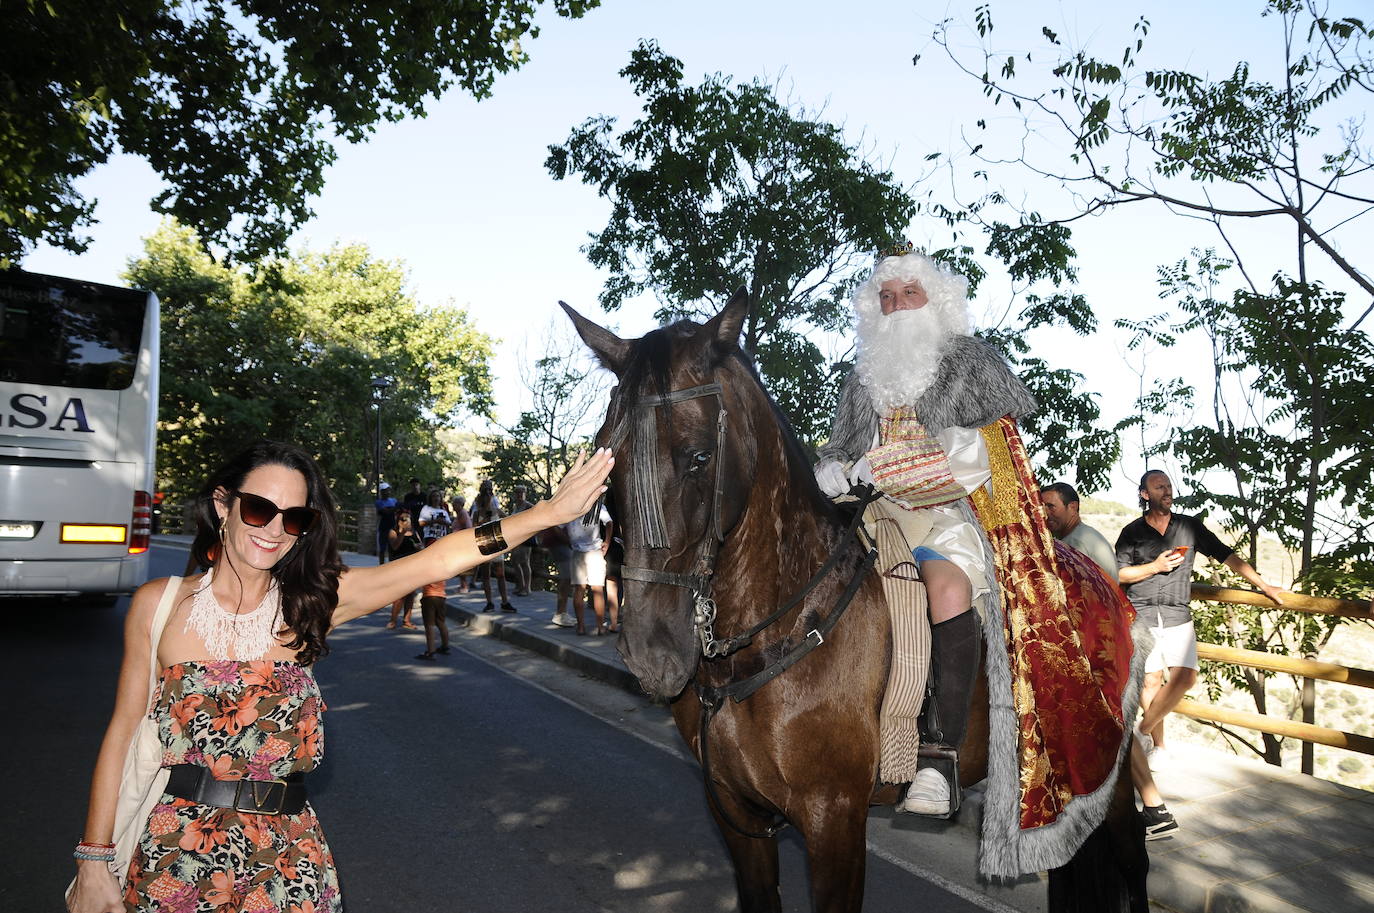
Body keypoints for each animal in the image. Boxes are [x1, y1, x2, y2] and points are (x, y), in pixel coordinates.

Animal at [563, 292, 1143, 913]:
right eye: (608, 457)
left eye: (697, 457)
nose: (653, 655)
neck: (775, 637)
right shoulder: (738, 816)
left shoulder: (833, 821)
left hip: (1106, 774)